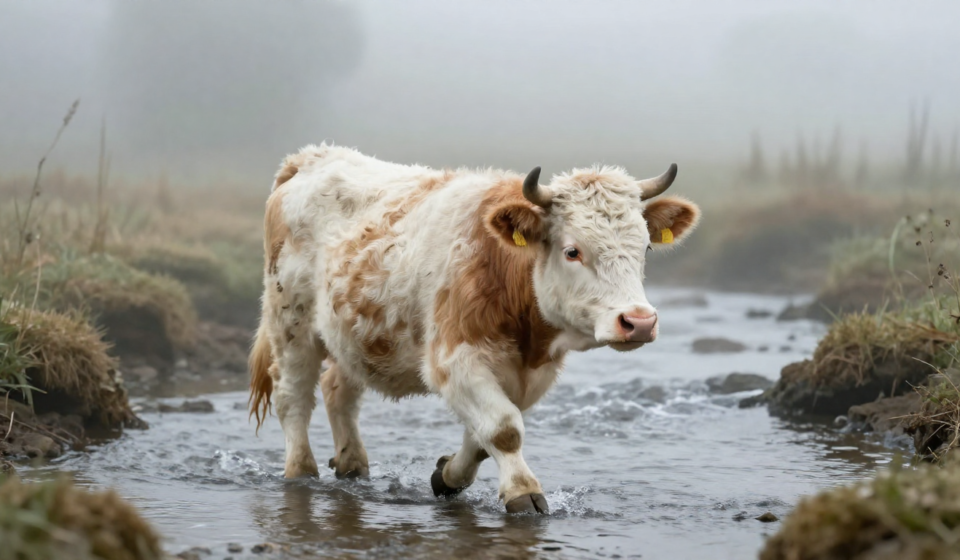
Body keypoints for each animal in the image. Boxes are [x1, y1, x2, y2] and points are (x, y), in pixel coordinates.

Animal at [249, 144, 700, 514]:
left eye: (645, 247)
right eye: (573, 251)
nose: (638, 321)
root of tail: (311, 156)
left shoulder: (529, 375)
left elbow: (482, 438)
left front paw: (446, 476)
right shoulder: (455, 358)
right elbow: (504, 430)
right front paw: (523, 492)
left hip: (352, 334)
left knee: (338, 390)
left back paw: (352, 464)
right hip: (290, 322)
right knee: (293, 397)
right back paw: (301, 471)